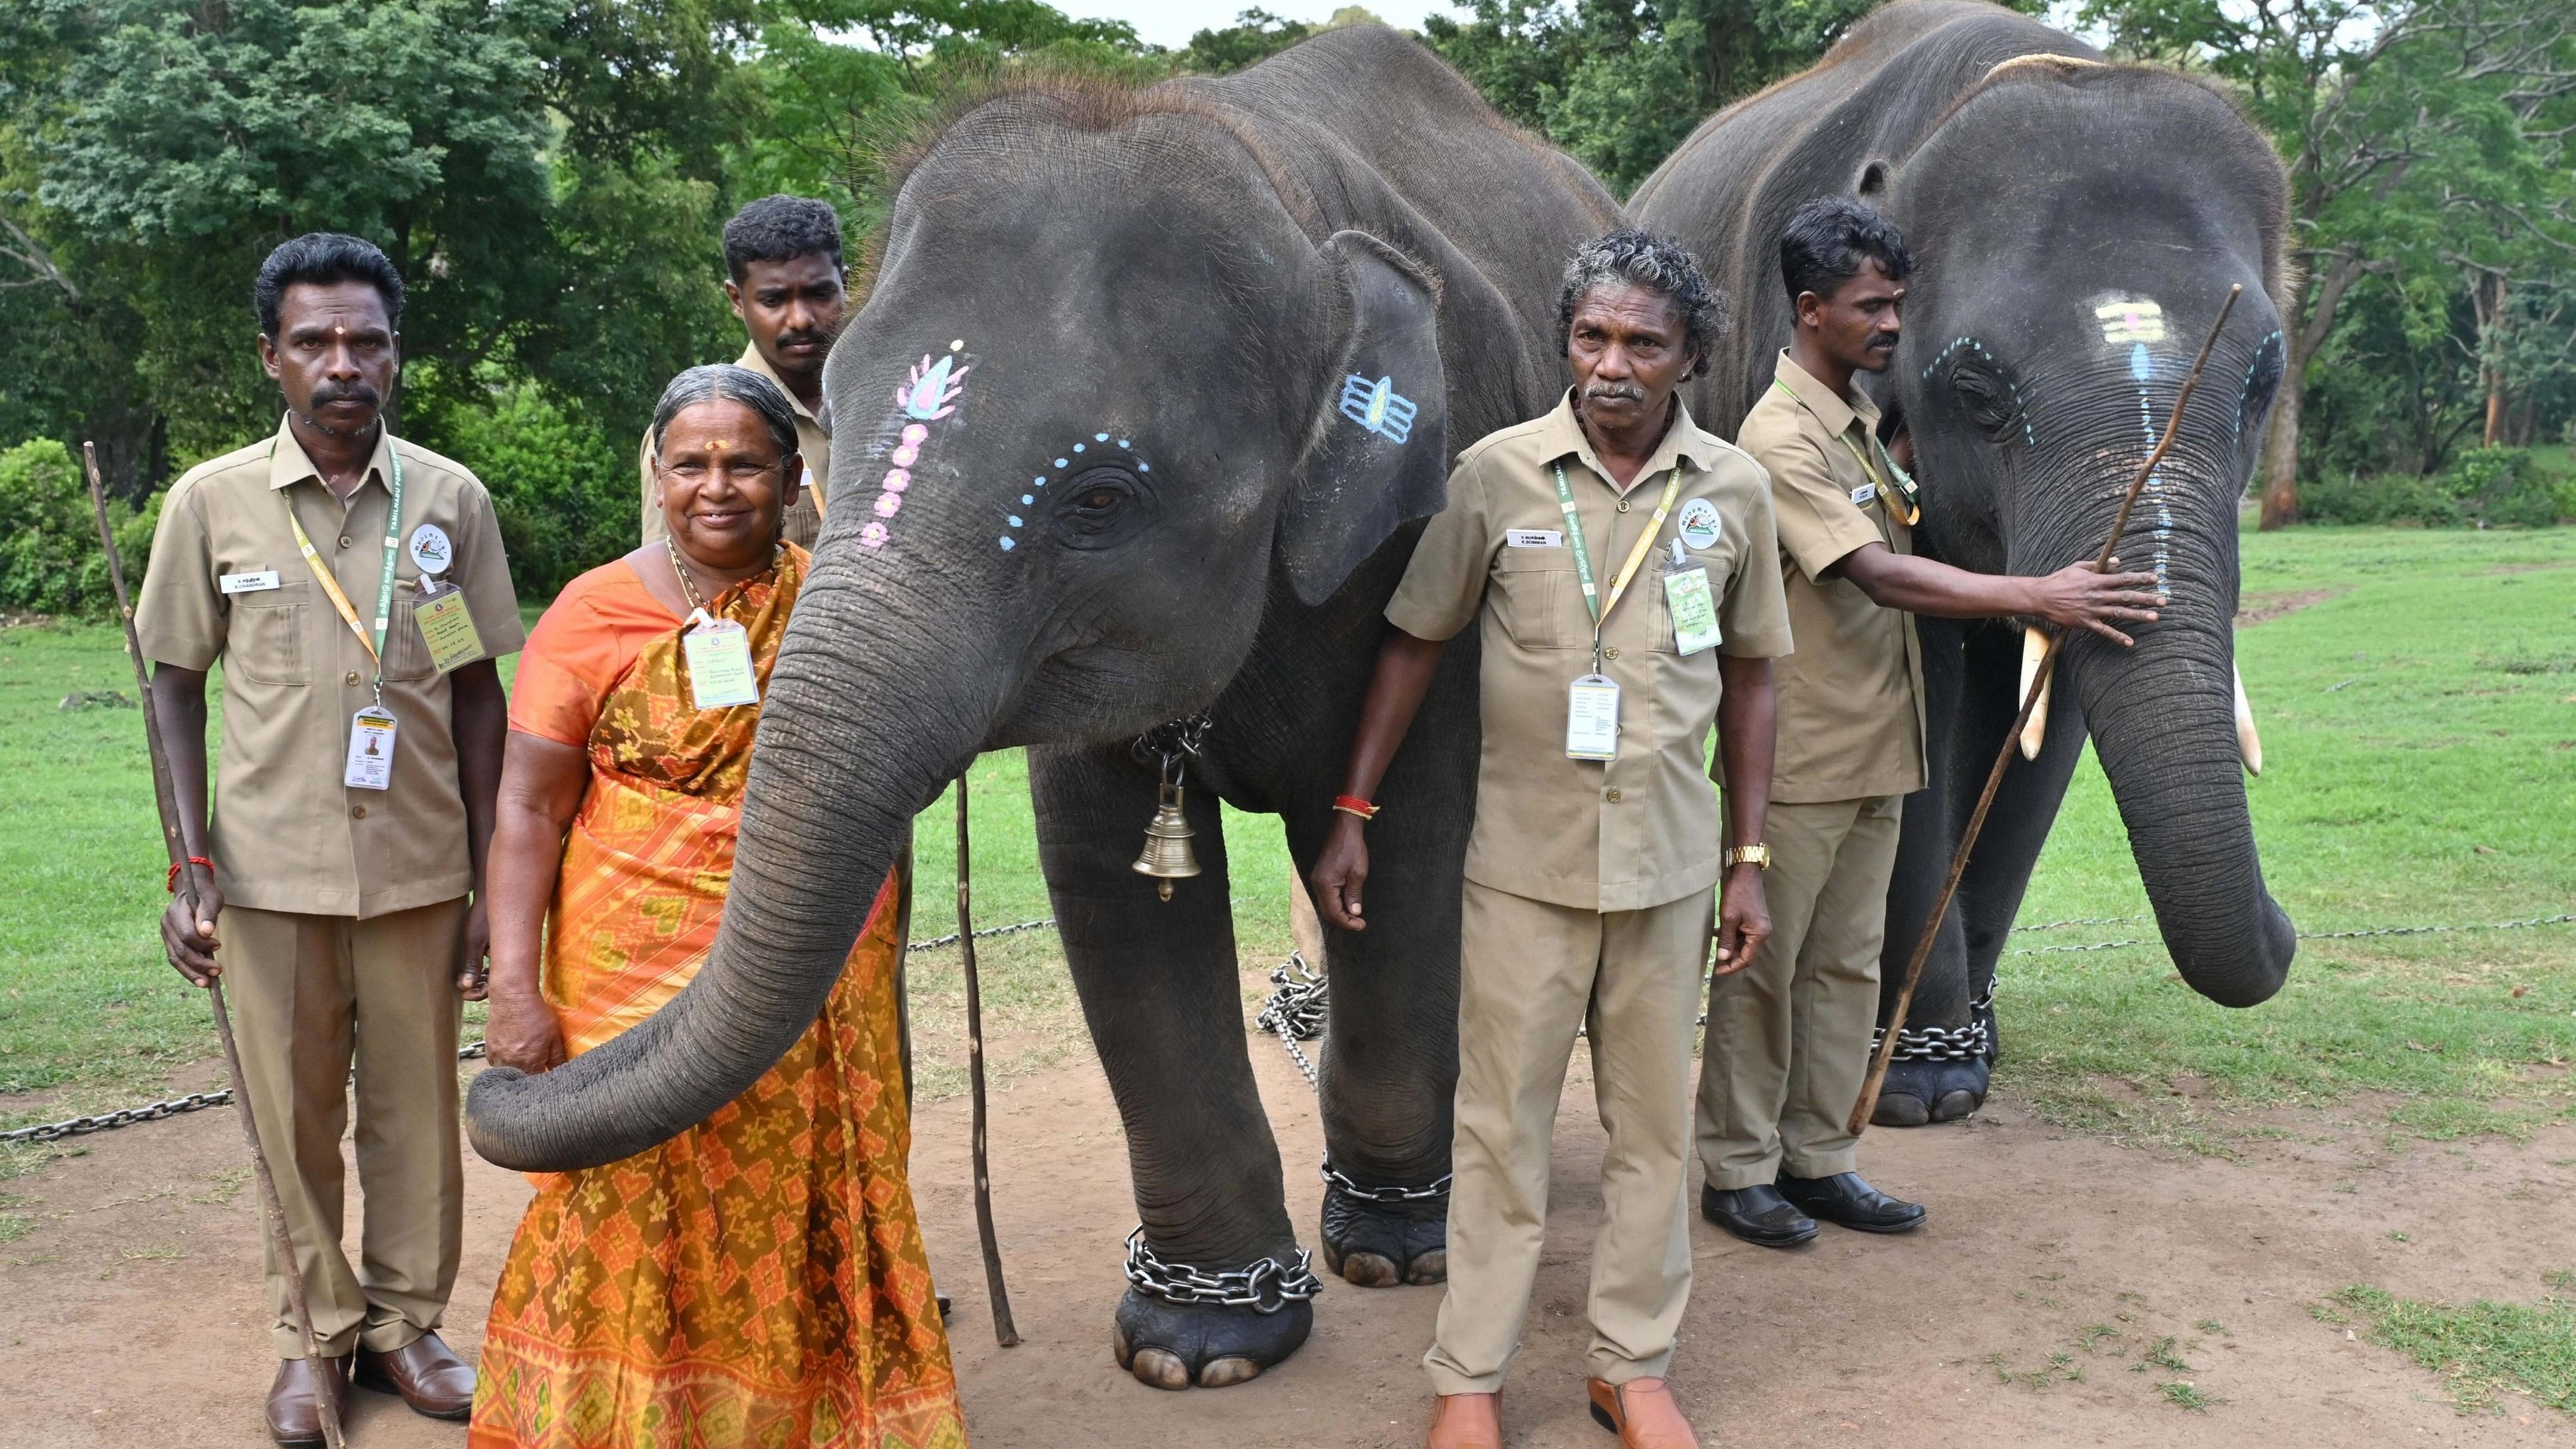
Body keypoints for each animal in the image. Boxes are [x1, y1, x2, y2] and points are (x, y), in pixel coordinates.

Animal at [468, 28, 1628, 1392]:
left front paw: (1396, 1253)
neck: (1278, 191)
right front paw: (1198, 1347)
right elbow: (1106, 882)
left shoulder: (1435, 521)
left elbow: (1403, 845)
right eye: (830, 427)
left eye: (1100, 497)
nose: (507, 1065)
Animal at [1628, 0, 2297, 1119]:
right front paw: (1921, 1084)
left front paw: (1968, 1042)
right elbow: (1918, 700)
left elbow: (2044, 723)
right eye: (1977, 396)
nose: (2287, 928)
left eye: (2261, 385)